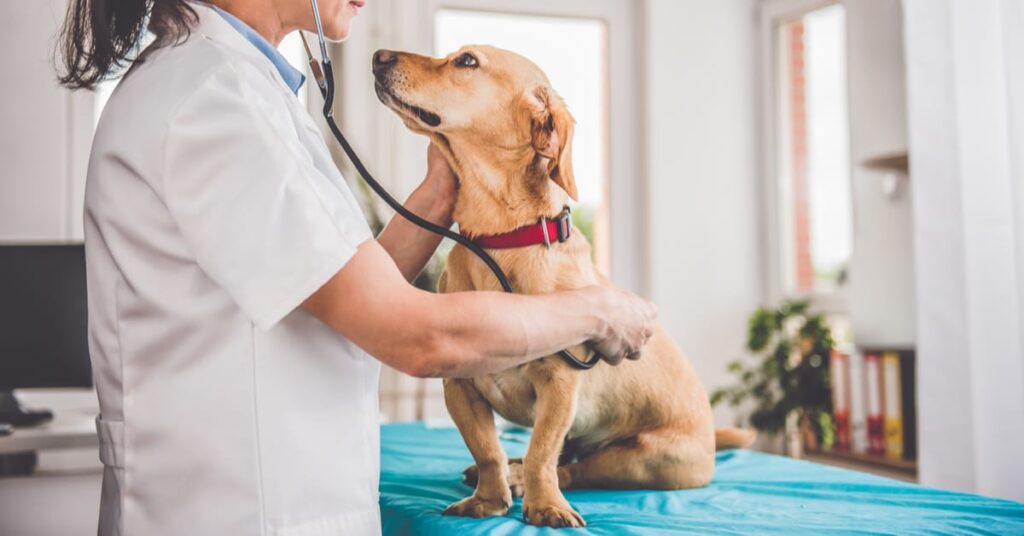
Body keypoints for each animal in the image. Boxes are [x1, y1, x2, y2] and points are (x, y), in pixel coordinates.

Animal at [370, 45, 753, 528]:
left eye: (467, 61)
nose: (378, 56)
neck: (500, 241)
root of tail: (711, 434)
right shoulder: (459, 386)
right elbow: (488, 449)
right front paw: (488, 499)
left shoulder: (560, 385)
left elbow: (542, 453)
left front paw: (544, 505)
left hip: (647, 459)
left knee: (574, 468)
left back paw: (529, 481)